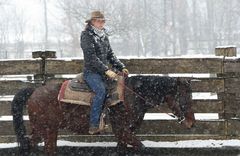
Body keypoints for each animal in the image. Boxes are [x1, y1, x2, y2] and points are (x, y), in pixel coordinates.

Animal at [10, 75, 195, 155]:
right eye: (184, 97)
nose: (191, 123)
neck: (133, 95)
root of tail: (34, 91)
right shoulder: (121, 129)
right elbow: (142, 147)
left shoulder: (124, 133)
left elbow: (122, 149)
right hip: (47, 129)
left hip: (45, 130)